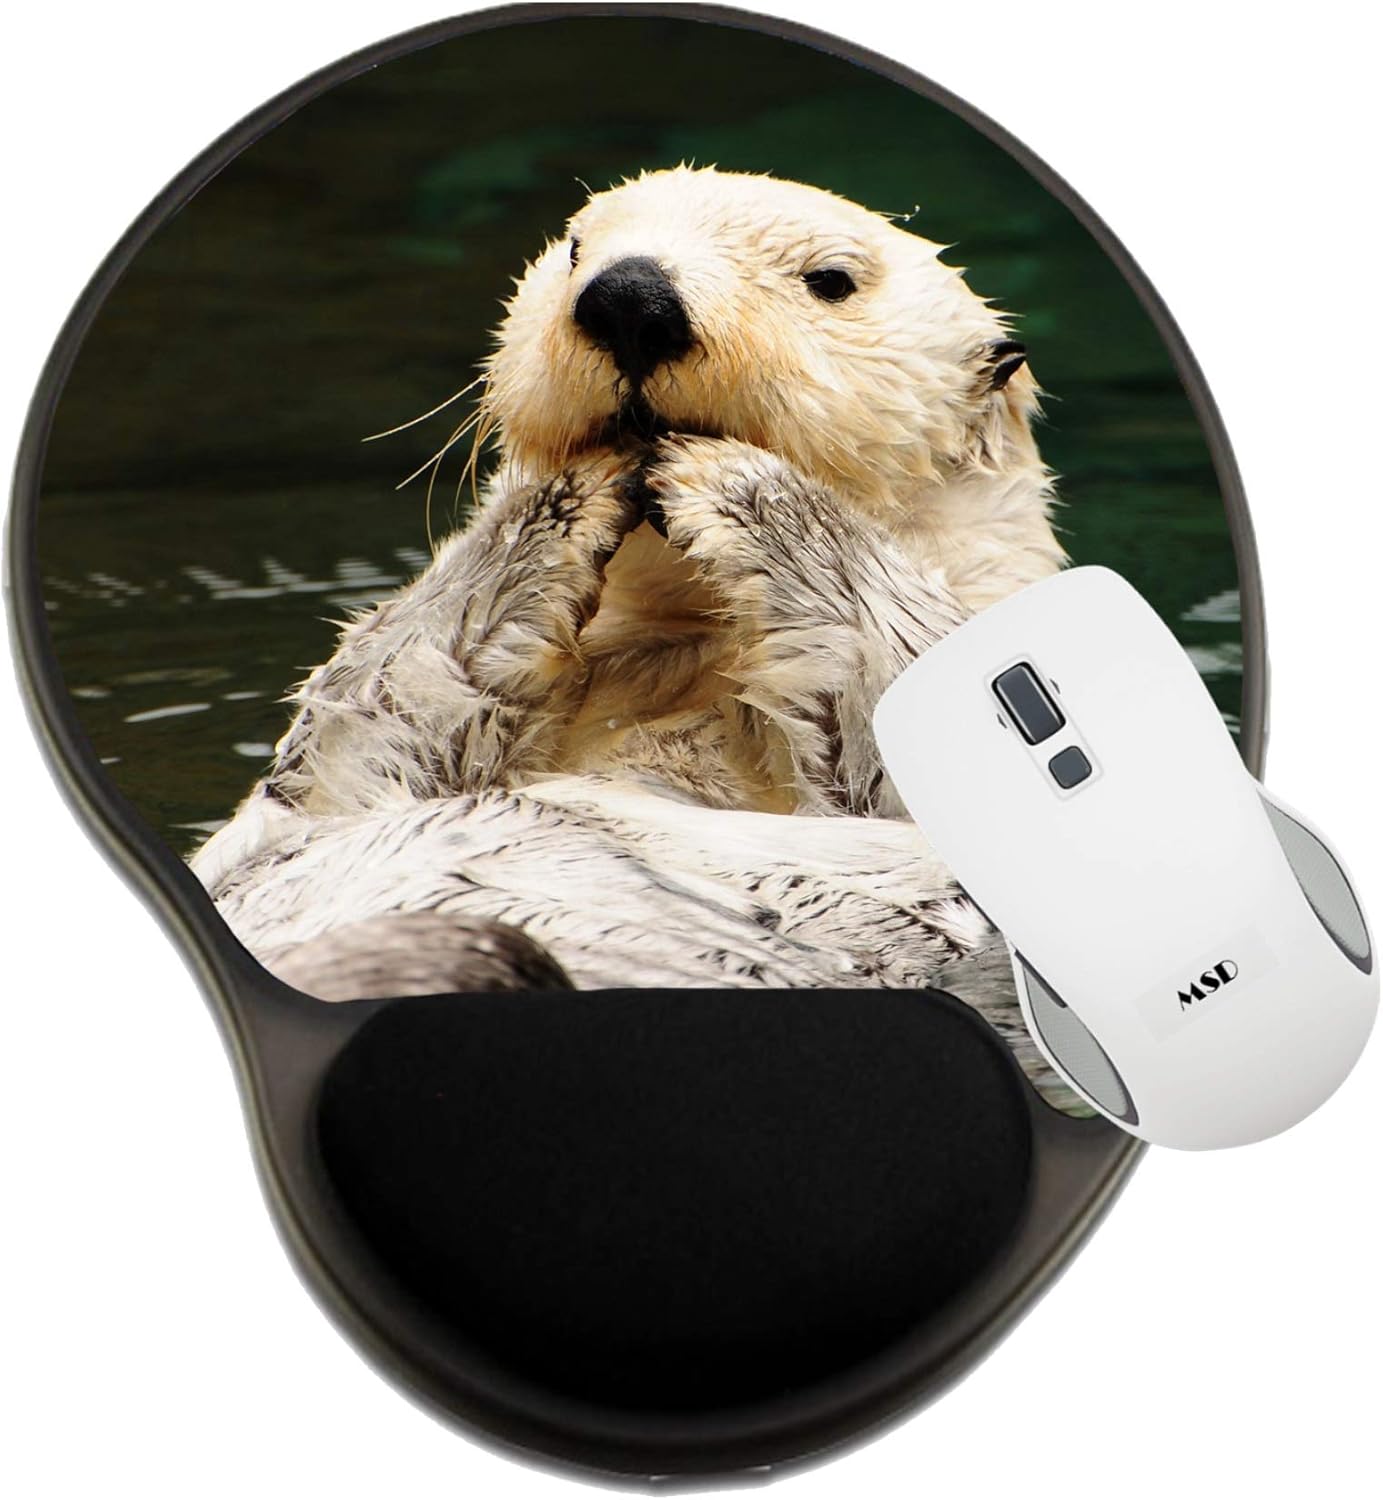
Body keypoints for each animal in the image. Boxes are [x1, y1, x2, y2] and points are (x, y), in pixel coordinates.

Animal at [193, 167, 1078, 1108]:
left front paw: (742, 486)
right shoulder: (334, 785)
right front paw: (559, 499)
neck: (683, 658)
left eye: (831, 280)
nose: (629, 296)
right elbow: (353, 732)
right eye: (577, 247)